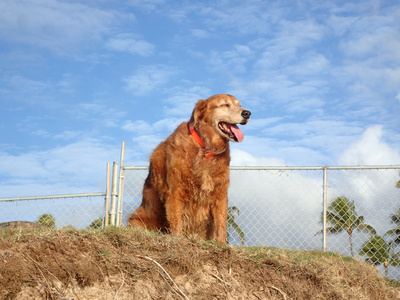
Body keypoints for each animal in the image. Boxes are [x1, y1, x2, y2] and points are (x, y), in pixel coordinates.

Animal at [129, 94, 250, 244]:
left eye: (239, 105)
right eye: (224, 105)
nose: (247, 113)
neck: (206, 148)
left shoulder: (220, 193)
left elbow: (221, 223)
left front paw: (222, 244)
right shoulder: (175, 190)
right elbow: (176, 218)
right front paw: (177, 238)